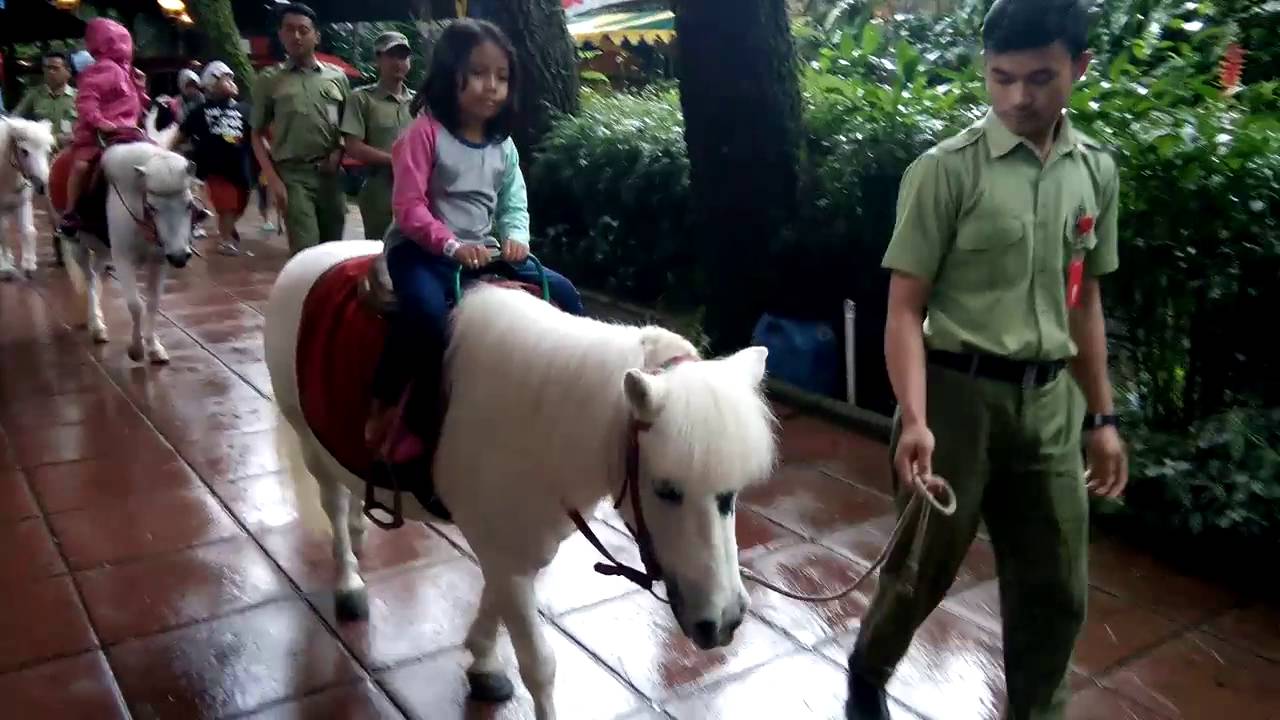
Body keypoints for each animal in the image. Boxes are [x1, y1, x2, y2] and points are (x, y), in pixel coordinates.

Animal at [0, 117, 54, 278]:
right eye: (24, 151)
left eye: (48, 151)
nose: (43, 186)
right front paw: (4, 267)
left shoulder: (23, 202)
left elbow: (29, 230)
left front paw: (29, 264)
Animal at [62, 110, 202, 363]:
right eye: (153, 207)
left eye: (189, 204)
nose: (179, 256)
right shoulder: (123, 259)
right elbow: (135, 305)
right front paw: (136, 349)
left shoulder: (158, 260)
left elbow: (153, 303)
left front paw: (154, 347)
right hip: (77, 243)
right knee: (88, 277)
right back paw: (96, 326)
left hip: (103, 249)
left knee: (96, 274)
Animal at [264, 240, 773, 717]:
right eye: (667, 490)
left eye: (732, 495)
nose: (724, 621)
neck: (540, 421)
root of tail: (313, 255)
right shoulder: (505, 549)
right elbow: (538, 663)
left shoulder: (520, 543)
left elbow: (495, 601)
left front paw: (483, 659)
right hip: (308, 438)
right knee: (332, 502)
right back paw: (349, 582)